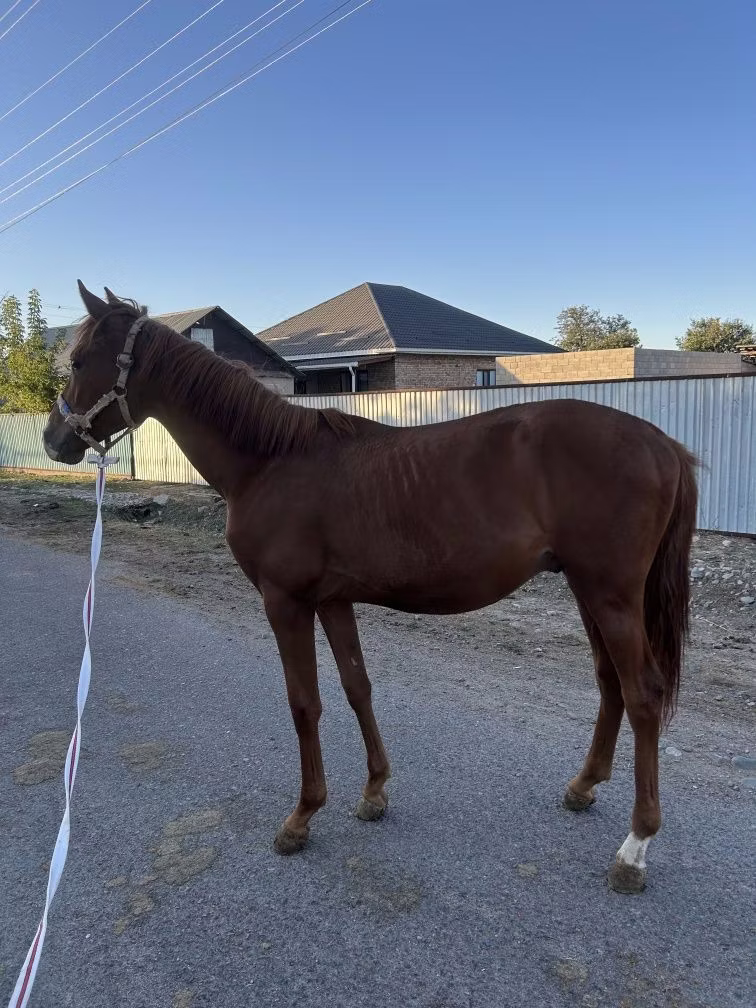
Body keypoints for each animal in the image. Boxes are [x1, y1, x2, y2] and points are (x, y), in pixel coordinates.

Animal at [43, 282, 698, 895]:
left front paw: (302, 817)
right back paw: (584, 786)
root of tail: (663, 444)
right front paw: (375, 791)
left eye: (77, 361)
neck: (270, 461)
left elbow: (304, 702)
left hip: (611, 595)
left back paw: (634, 848)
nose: (54, 440)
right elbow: (358, 687)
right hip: (590, 592)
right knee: (610, 685)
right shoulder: (333, 600)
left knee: (642, 695)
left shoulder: (285, 602)